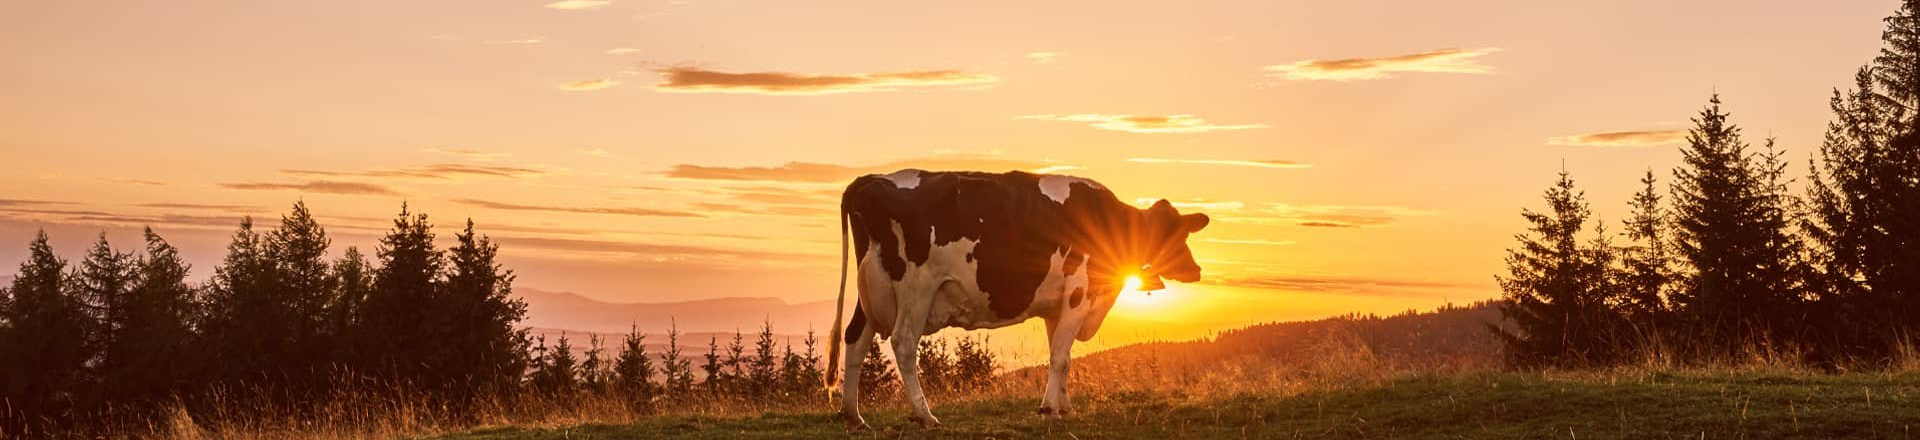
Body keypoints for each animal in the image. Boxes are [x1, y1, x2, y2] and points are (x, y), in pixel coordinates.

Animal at [825, 169, 1213, 430]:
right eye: (1174, 233)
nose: (1195, 270)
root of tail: (870, 179)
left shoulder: (1057, 305)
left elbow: (1063, 356)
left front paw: (1065, 406)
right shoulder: (1079, 293)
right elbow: (1059, 357)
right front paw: (1050, 409)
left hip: (870, 288)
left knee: (855, 337)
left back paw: (853, 416)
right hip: (915, 287)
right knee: (904, 342)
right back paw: (925, 415)